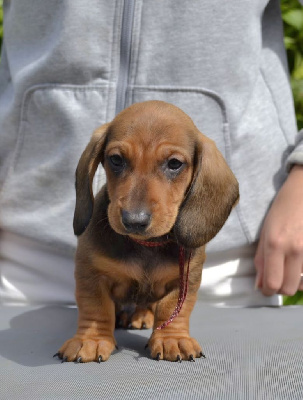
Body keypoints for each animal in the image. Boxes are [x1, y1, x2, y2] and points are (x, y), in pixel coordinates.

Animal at [55, 100, 240, 362]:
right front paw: (91, 340)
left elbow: (172, 308)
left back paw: (142, 316)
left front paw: (173, 339)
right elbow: (96, 307)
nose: (134, 220)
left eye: (174, 164)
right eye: (116, 159)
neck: (146, 245)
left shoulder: (186, 279)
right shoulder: (90, 273)